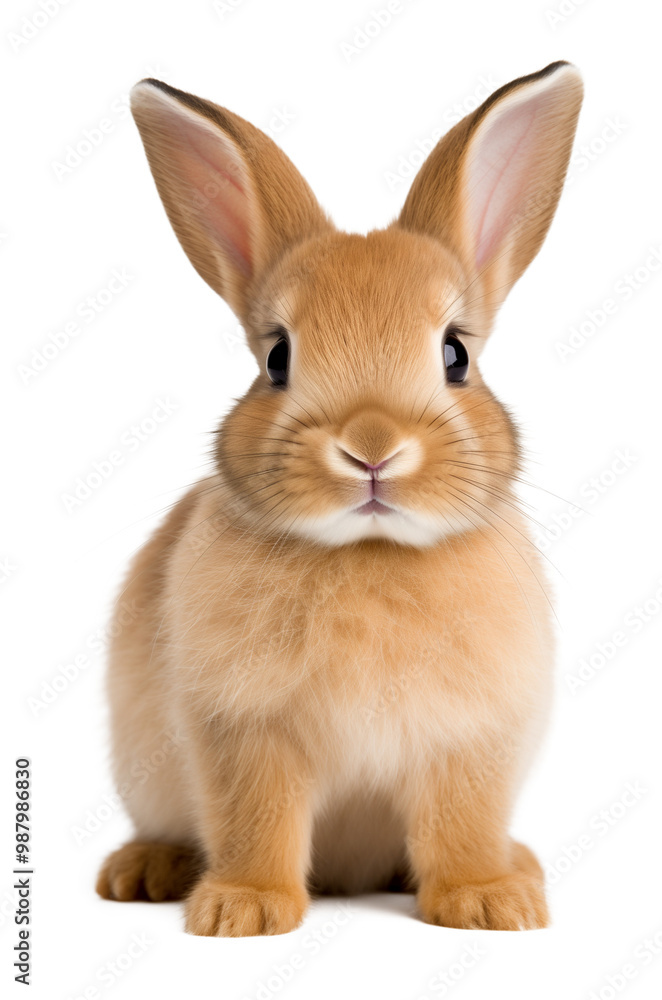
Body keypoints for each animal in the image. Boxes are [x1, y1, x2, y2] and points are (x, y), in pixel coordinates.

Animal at [96, 62, 583, 936]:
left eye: (456, 355)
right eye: (277, 358)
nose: (372, 447)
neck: (370, 550)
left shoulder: (470, 738)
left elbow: (461, 822)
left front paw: (488, 903)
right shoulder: (243, 731)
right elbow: (257, 819)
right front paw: (243, 912)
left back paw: (520, 868)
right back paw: (145, 871)